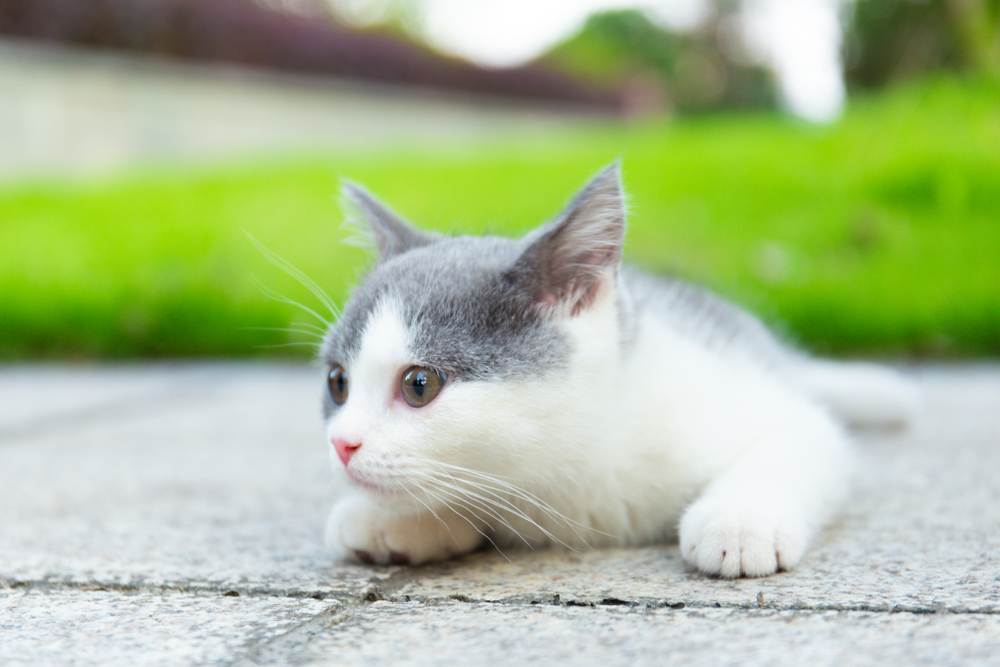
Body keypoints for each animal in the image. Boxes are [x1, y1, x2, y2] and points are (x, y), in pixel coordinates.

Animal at [320, 164, 916, 576]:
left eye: (420, 384)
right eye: (337, 382)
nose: (342, 445)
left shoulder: (764, 408)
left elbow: (797, 440)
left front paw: (740, 521)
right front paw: (397, 519)